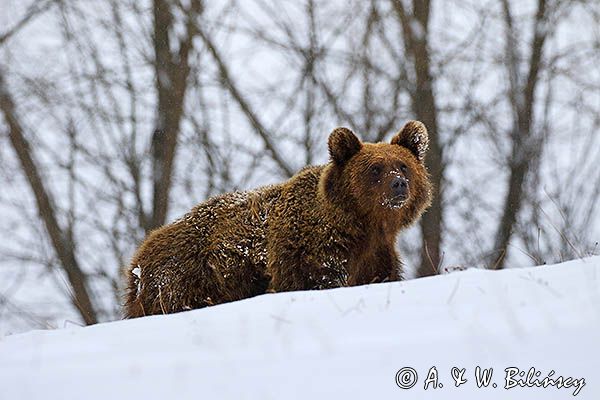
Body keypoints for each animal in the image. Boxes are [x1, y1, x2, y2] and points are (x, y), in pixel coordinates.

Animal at [123, 120, 432, 318]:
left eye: (403, 165)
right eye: (375, 169)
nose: (399, 184)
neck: (363, 225)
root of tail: (139, 257)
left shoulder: (376, 254)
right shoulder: (310, 253)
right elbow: (314, 281)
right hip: (182, 281)